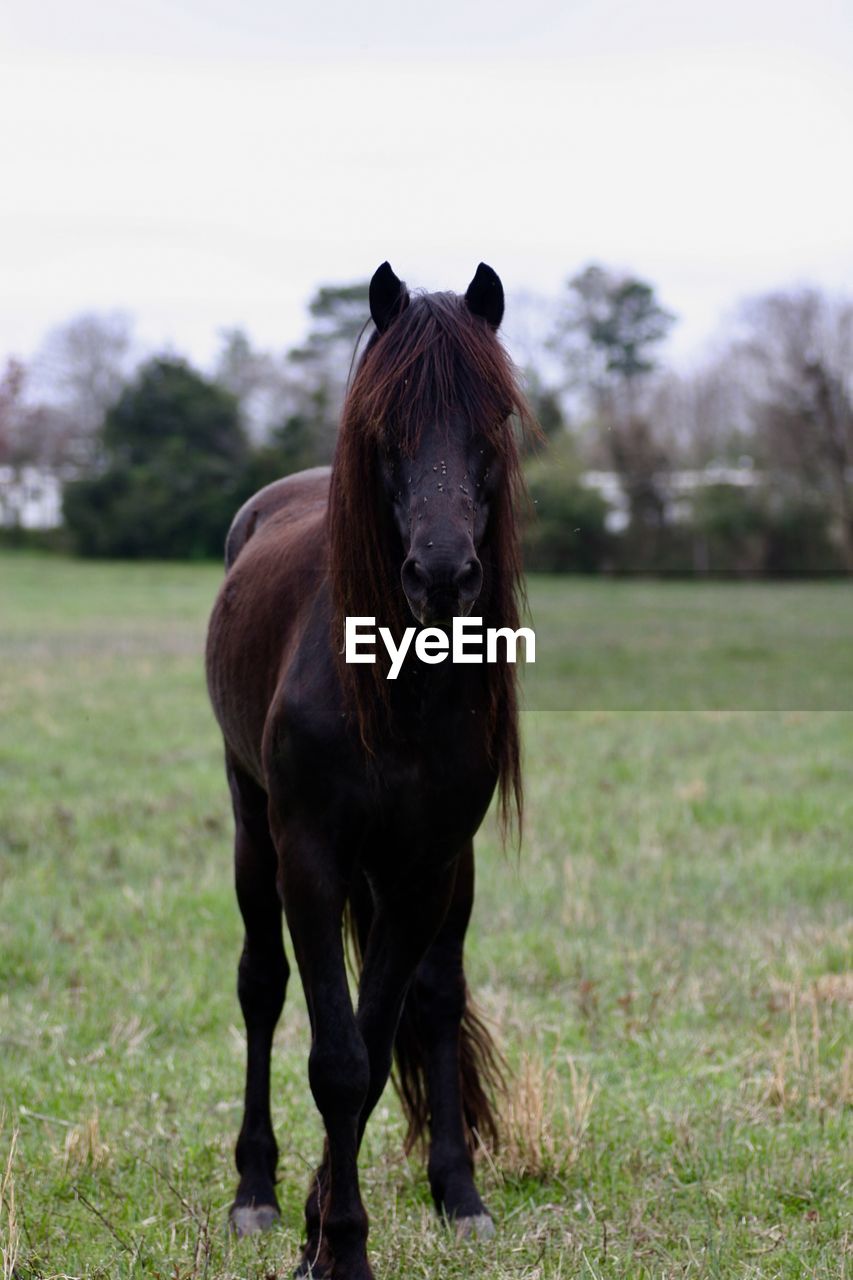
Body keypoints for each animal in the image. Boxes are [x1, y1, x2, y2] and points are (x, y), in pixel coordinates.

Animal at [204, 262, 532, 1280]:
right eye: (386, 429)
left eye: (492, 421)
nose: (442, 576)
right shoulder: (310, 856)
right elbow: (337, 1059)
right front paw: (332, 1243)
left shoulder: (426, 866)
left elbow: (381, 1042)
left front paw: (335, 1228)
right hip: (252, 829)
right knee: (261, 986)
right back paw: (256, 1190)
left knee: (434, 1000)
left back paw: (457, 1193)